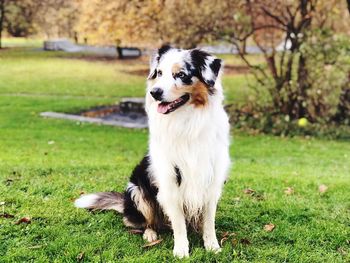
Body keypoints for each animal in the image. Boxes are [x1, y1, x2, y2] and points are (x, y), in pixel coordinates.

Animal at [75, 46, 231, 258]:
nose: (154, 92)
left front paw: (212, 246)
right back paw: (150, 234)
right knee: (144, 222)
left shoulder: (211, 180)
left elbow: (208, 221)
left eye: (181, 75)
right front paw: (181, 250)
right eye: (159, 73)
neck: (187, 122)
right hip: (138, 191)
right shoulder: (169, 181)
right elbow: (179, 223)